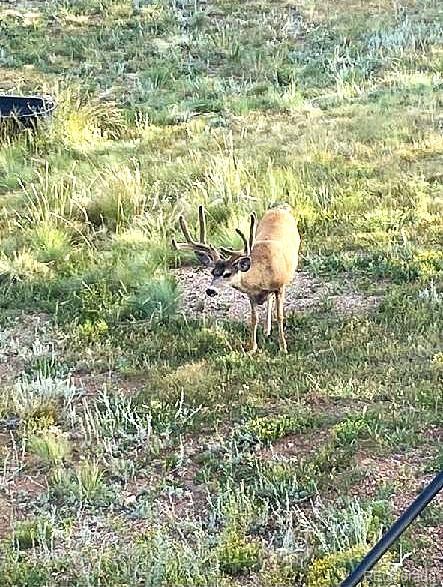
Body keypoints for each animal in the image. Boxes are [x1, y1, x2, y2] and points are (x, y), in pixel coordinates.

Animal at [172, 207, 300, 354]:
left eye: (227, 274)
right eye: (212, 272)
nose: (210, 290)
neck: (262, 277)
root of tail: (280, 208)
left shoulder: (280, 286)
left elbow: (279, 316)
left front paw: (283, 347)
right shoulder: (251, 294)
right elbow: (254, 318)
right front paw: (252, 348)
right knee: (269, 300)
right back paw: (266, 330)